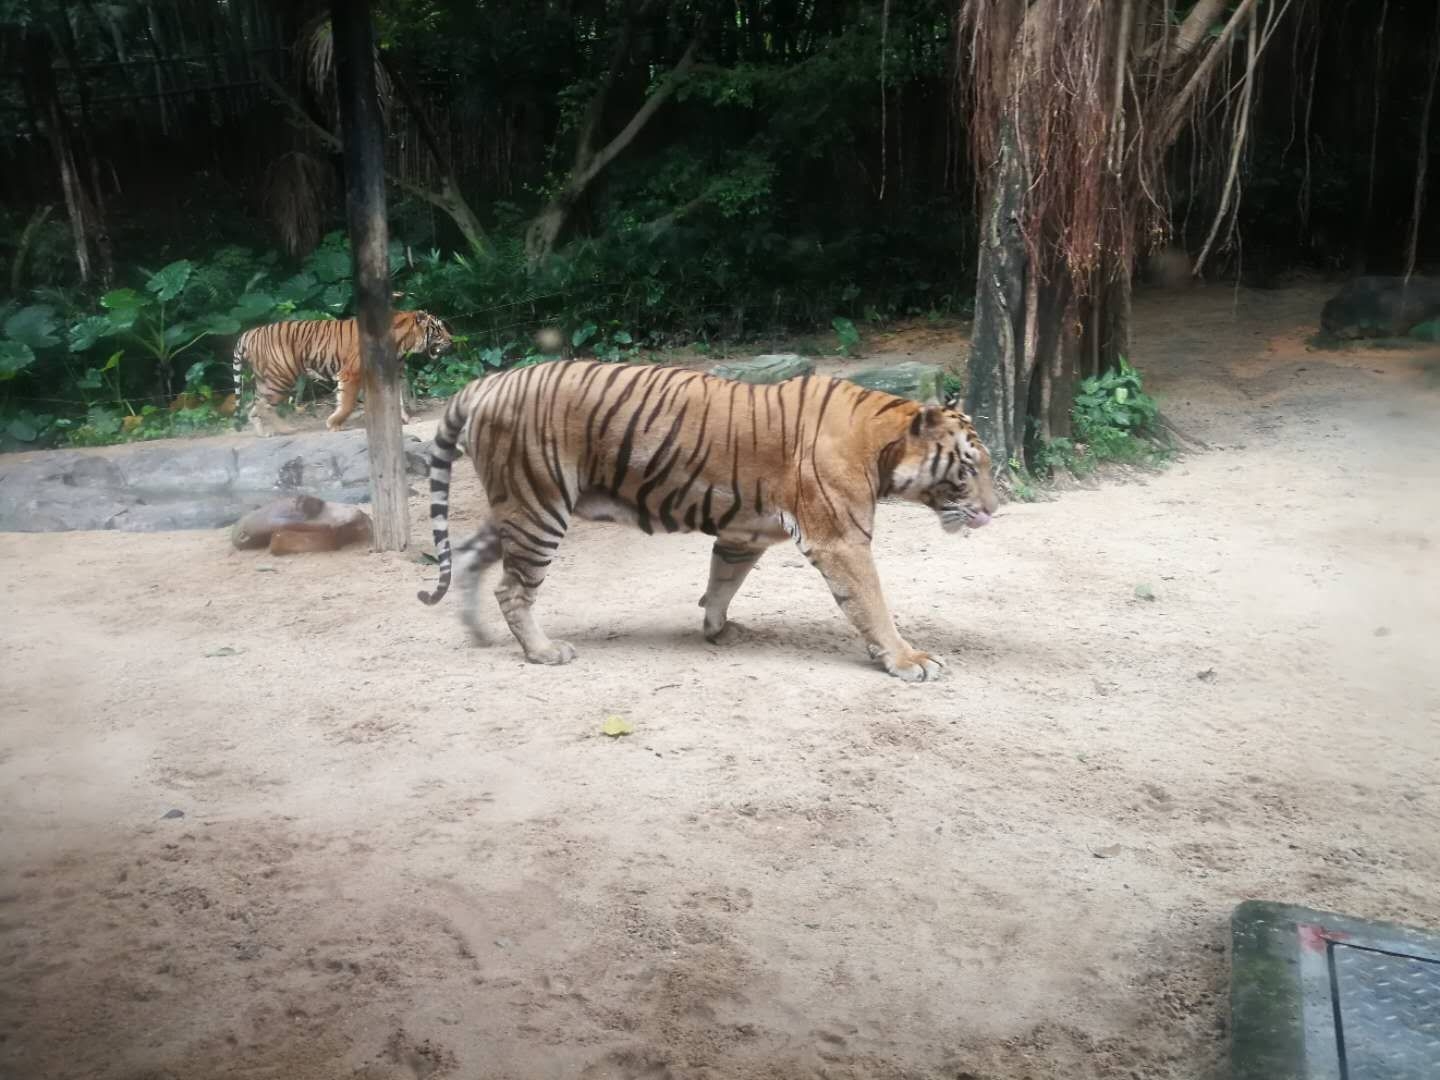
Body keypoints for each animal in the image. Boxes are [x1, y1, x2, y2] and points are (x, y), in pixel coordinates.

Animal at [230, 308, 449, 434]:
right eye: (438, 329)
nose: (451, 340)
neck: (403, 343)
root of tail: (251, 332)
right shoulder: (351, 373)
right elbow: (347, 402)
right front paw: (334, 424)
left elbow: (399, 399)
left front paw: (406, 419)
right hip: (281, 376)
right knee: (263, 405)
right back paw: (285, 428)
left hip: (267, 379)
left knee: (252, 404)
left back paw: (263, 432)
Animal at [420, 364, 1002, 685]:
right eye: (970, 466)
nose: (995, 510)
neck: (882, 442)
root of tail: (489, 381)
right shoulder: (842, 541)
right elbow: (873, 605)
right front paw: (908, 660)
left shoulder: (744, 533)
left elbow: (722, 582)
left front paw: (717, 628)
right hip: (539, 506)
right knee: (514, 589)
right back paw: (543, 652)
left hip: (516, 506)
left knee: (469, 555)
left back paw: (479, 634)